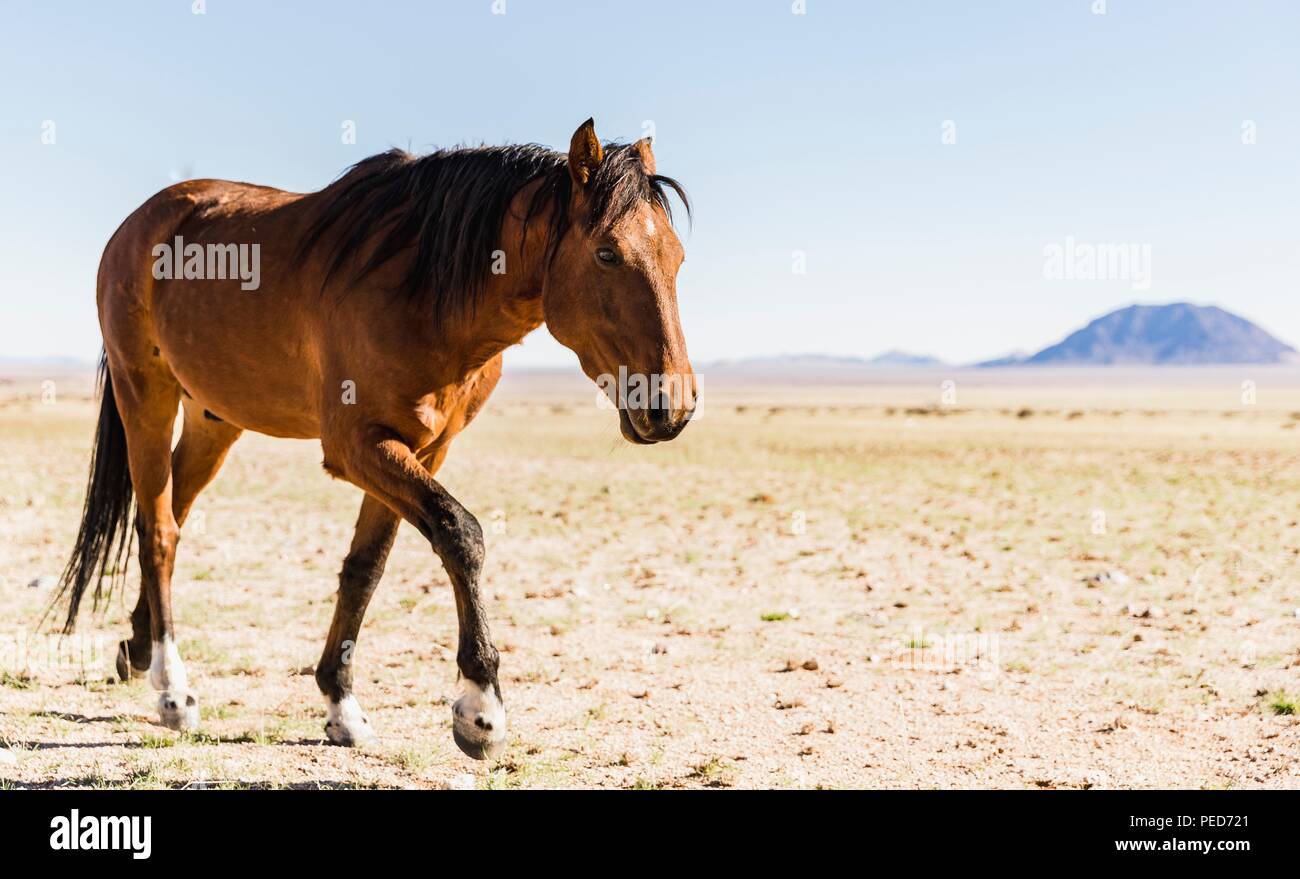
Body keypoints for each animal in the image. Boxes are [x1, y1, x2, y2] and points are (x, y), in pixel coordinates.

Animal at [55, 120, 696, 759]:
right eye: (608, 253)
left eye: (677, 257)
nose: (673, 405)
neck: (425, 290)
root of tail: (139, 223)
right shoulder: (357, 447)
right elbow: (460, 533)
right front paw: (480, 708)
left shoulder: (424, 449)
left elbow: (366, 567)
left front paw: (340, 704)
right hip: (146, 395)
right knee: (160, 532)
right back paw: (171, 691)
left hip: (214, 419)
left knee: (169, 514)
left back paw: (138, 648)